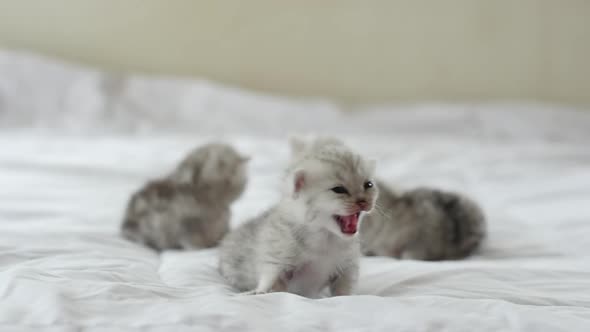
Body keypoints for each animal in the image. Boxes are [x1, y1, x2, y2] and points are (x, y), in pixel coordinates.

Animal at [217, 139, 380, 296]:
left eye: (368, 184)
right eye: (339, 189)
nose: (363, 201)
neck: (324, 237)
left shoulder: (347, 265)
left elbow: (345, 290)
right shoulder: (278, 255)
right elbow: (270, 278)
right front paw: (259, 291)